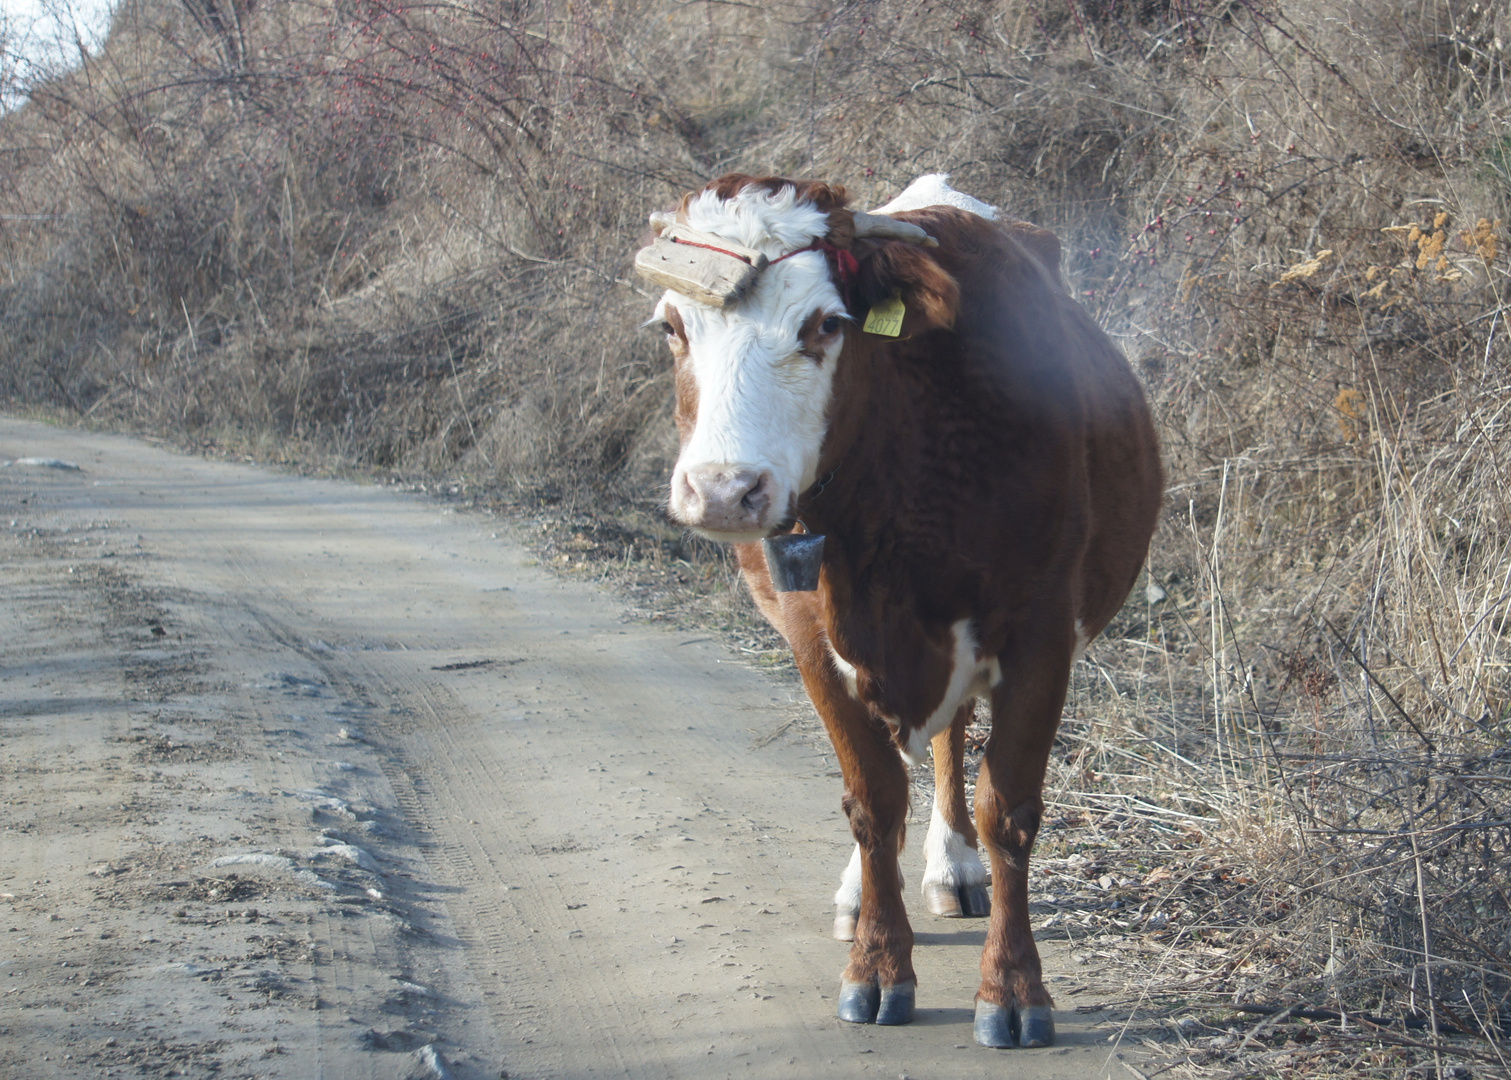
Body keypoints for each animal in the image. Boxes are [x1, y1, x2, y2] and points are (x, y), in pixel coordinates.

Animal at [631, 175, 1160, 1045]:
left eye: (824, 324)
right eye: (673, 327)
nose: (723, 490)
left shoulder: (1041, 633)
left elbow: (1006, 808)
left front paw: (1013, 987)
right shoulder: (812, 639)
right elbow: (872, 801)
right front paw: (877, 967)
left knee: (949, 745)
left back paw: (953, 867)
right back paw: (860, 891)